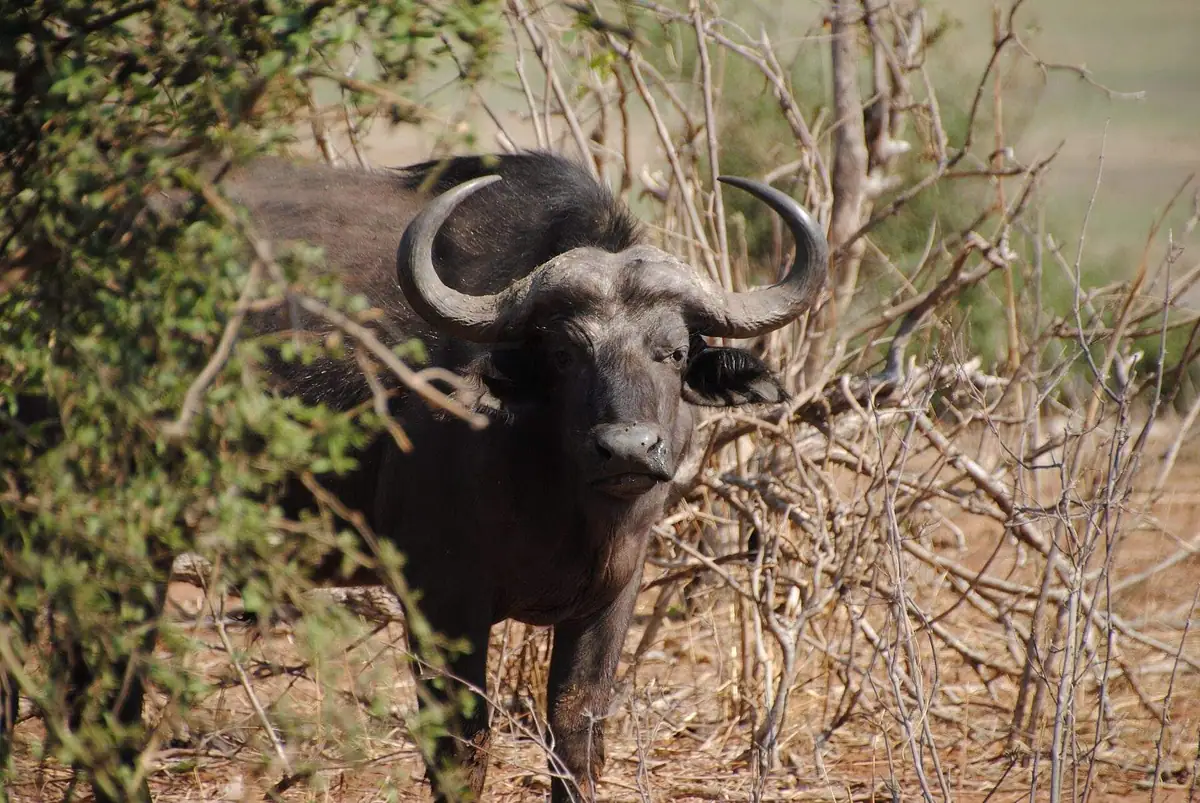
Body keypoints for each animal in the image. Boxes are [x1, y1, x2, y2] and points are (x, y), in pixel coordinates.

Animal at [2, 152, 827, 802]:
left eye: (675, 351)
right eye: (564, 351)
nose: (626, 447)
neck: (554, 488)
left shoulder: (611, 599)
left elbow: (576, 736)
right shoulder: (441, 601)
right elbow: (463, 749)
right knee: (99, 697)